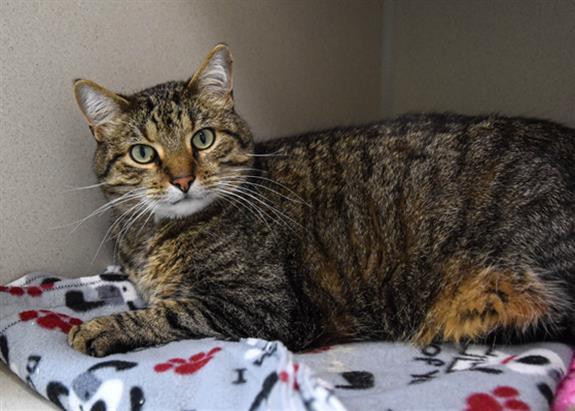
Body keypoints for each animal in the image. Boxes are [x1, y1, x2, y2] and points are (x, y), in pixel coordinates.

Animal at [70, 42, 575, 358]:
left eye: (203, 138)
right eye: (143, 153)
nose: (182, 179)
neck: (151, 239)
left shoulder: (264, 308)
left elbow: (171, 314)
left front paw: (99, 328)